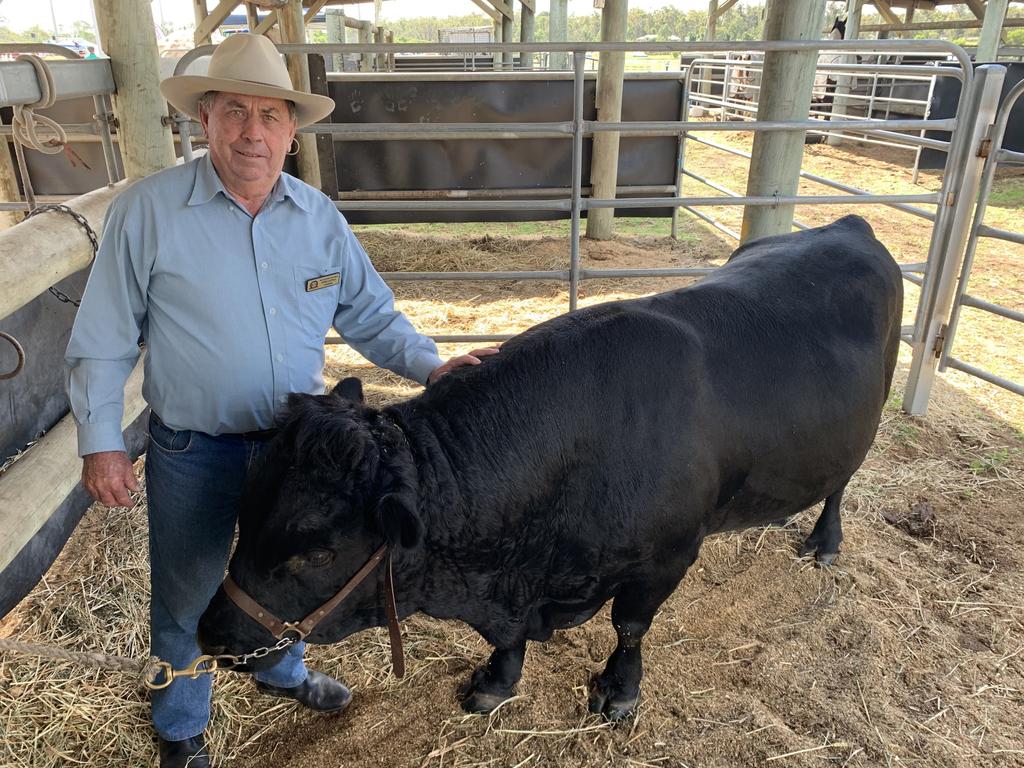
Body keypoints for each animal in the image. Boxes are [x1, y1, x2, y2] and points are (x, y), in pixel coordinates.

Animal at [197, 215, 905, 720]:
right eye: (243, 512)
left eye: (315, 552)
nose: (212, 633)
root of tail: (846, 225)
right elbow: (506, 646)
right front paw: (496, 681)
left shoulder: (667, 556)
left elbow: (630, 626)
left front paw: (619, 691)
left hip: (863, 424)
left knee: (841, 484)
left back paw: (825, 542)